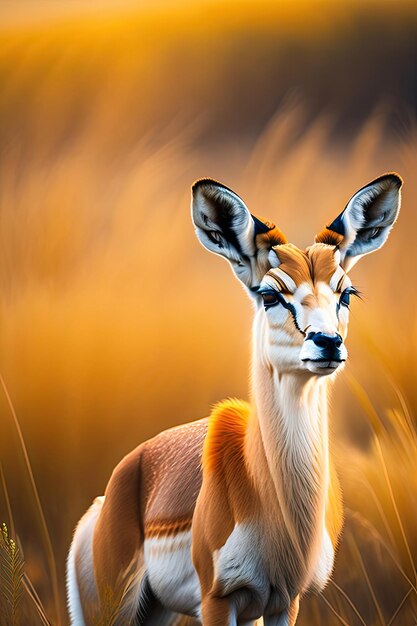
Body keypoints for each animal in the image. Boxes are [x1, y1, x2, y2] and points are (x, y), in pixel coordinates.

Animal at [66, 172, 402, 624]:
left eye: (346, 293)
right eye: (270, 294)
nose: (327, 343)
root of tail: (108, 494)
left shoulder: (283, 601)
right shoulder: (218, 599)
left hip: (158, 611)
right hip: (111, 611)